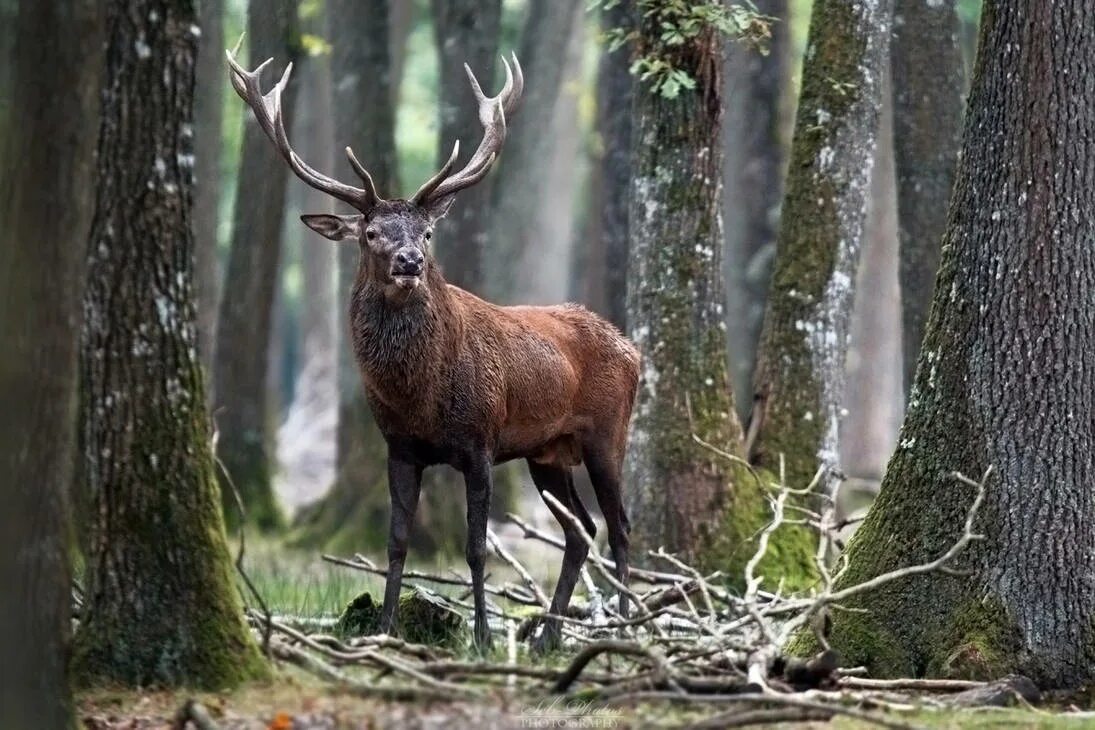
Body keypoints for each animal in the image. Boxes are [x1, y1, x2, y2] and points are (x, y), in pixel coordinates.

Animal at [228, 48, 639, 652]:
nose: (409, 263)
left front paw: (485, 636)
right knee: (582, 530)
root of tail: (633, 349)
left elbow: (476, 547)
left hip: (607, 433)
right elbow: (395, 541)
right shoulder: (399, 446)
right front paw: (385, 627)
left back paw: (628, 627)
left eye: (426, 233)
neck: (420, 396)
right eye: (371, 232)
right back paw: (547, 637)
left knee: (620, 526)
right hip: (547, 453)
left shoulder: (481, 441)